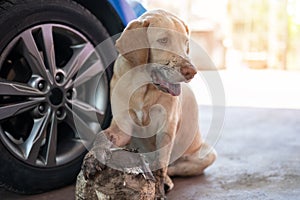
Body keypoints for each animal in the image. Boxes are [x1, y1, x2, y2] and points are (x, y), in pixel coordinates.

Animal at [102, 9, 216, 195]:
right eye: (163, 40)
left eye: (185, 43)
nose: (191, 72)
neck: (144, 86)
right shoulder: (123, 122)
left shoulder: (166, 125)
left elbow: (161, 161)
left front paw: (161, 183)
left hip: (207, 153)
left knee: (176, 167)